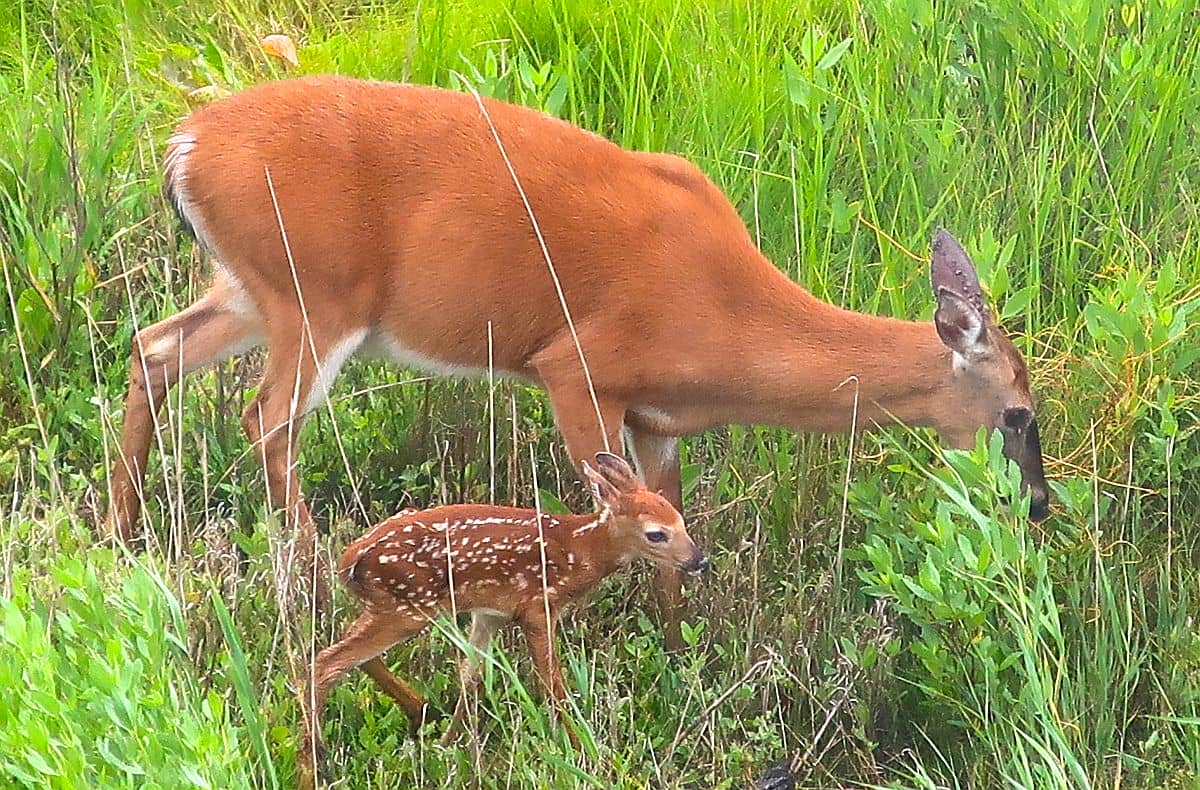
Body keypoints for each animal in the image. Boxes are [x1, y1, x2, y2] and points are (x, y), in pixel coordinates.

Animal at [107, 75, 1050, 646]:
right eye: (1018, 413)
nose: (1039, 506)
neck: (726, 314)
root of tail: (184, 146)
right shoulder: (575, 368)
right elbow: (606, 515)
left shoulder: (657, 418)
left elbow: (669, 523)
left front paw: (676, 650)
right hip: (316, 294)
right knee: (266, 415)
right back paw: (307, 574)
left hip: (252, 289)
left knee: (152, 348)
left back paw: (122, 533)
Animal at [296, 451, 705, 786]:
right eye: (656, 534)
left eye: (681, 520)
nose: (699, 560)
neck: (580, 550)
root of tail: (350, 559)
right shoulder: (538, 608)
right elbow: (552, 686)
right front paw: (584, 754)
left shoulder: (490, 612)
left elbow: (471, 675)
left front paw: (447, 747)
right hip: (409, 605)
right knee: (327, 662)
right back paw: (312, 767)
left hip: (392, 605)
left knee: (344, 645)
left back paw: (418, 713)